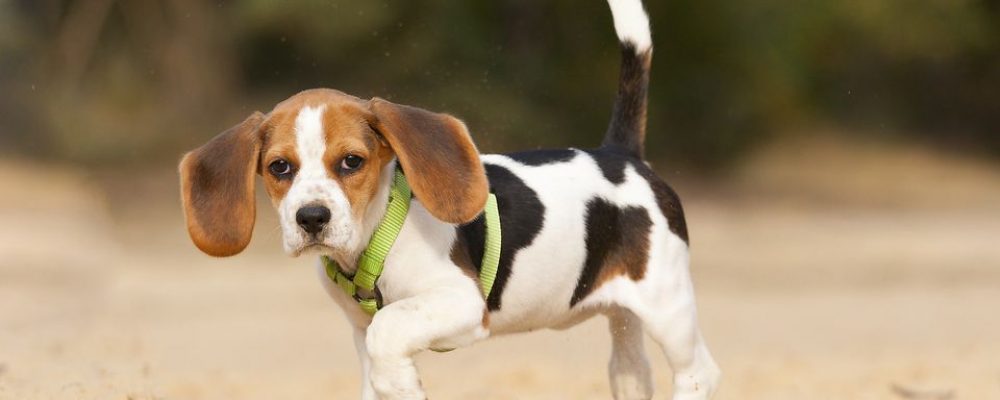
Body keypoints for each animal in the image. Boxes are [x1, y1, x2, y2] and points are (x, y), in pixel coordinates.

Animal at [178, 0, 720, 399]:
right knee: (633, 372)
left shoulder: (462, 304)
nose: (312, 218)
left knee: (700, 372)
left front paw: (401, 382)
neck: (375, 237)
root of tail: (621, 153)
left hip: (669, 307)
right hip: (625, 321)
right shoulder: (358, 329)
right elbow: (376, 347)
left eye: (352, 162)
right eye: (279, 168)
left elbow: (389, 328)